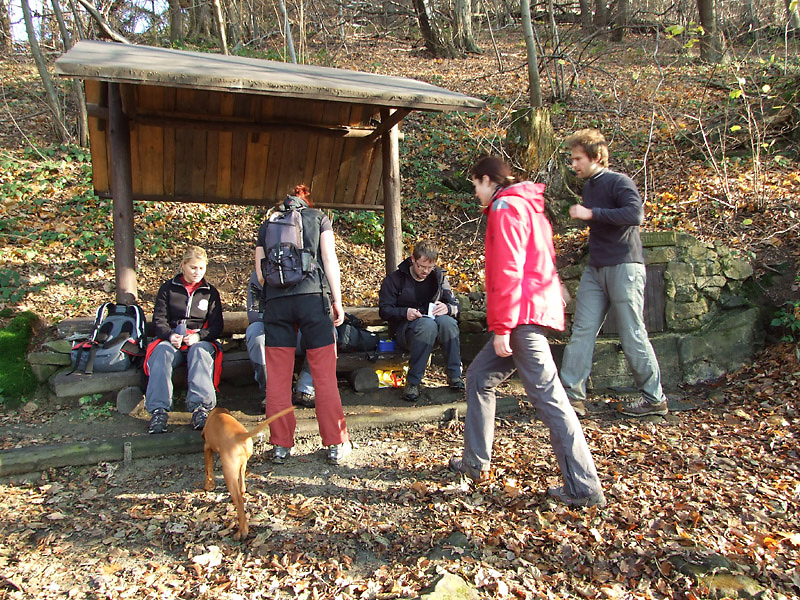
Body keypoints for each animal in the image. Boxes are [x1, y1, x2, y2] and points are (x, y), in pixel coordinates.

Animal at [203, 408, 294, 540]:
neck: (217, 412)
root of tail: (239, 436)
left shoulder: (207, 447)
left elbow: (208, 468)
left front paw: (208, 486)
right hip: (242, 464)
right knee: (242, 487)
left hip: (228, 472)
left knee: (239, 502)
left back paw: (241, 532)